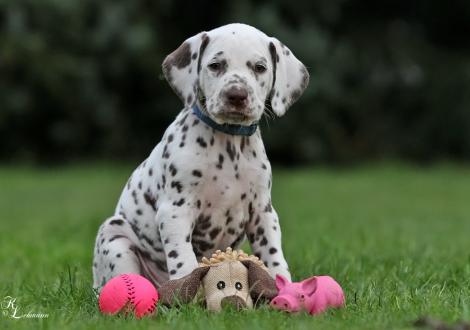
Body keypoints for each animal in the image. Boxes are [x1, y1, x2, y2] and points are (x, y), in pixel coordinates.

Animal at [93, 23, 310, 290]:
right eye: (215, 65)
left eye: (260, 68)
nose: (236, 95)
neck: (229, 145)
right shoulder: (176, 210)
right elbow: (183, 257)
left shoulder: (263, 212)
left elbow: (272, 254)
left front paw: (283, 285)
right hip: (114, 235)